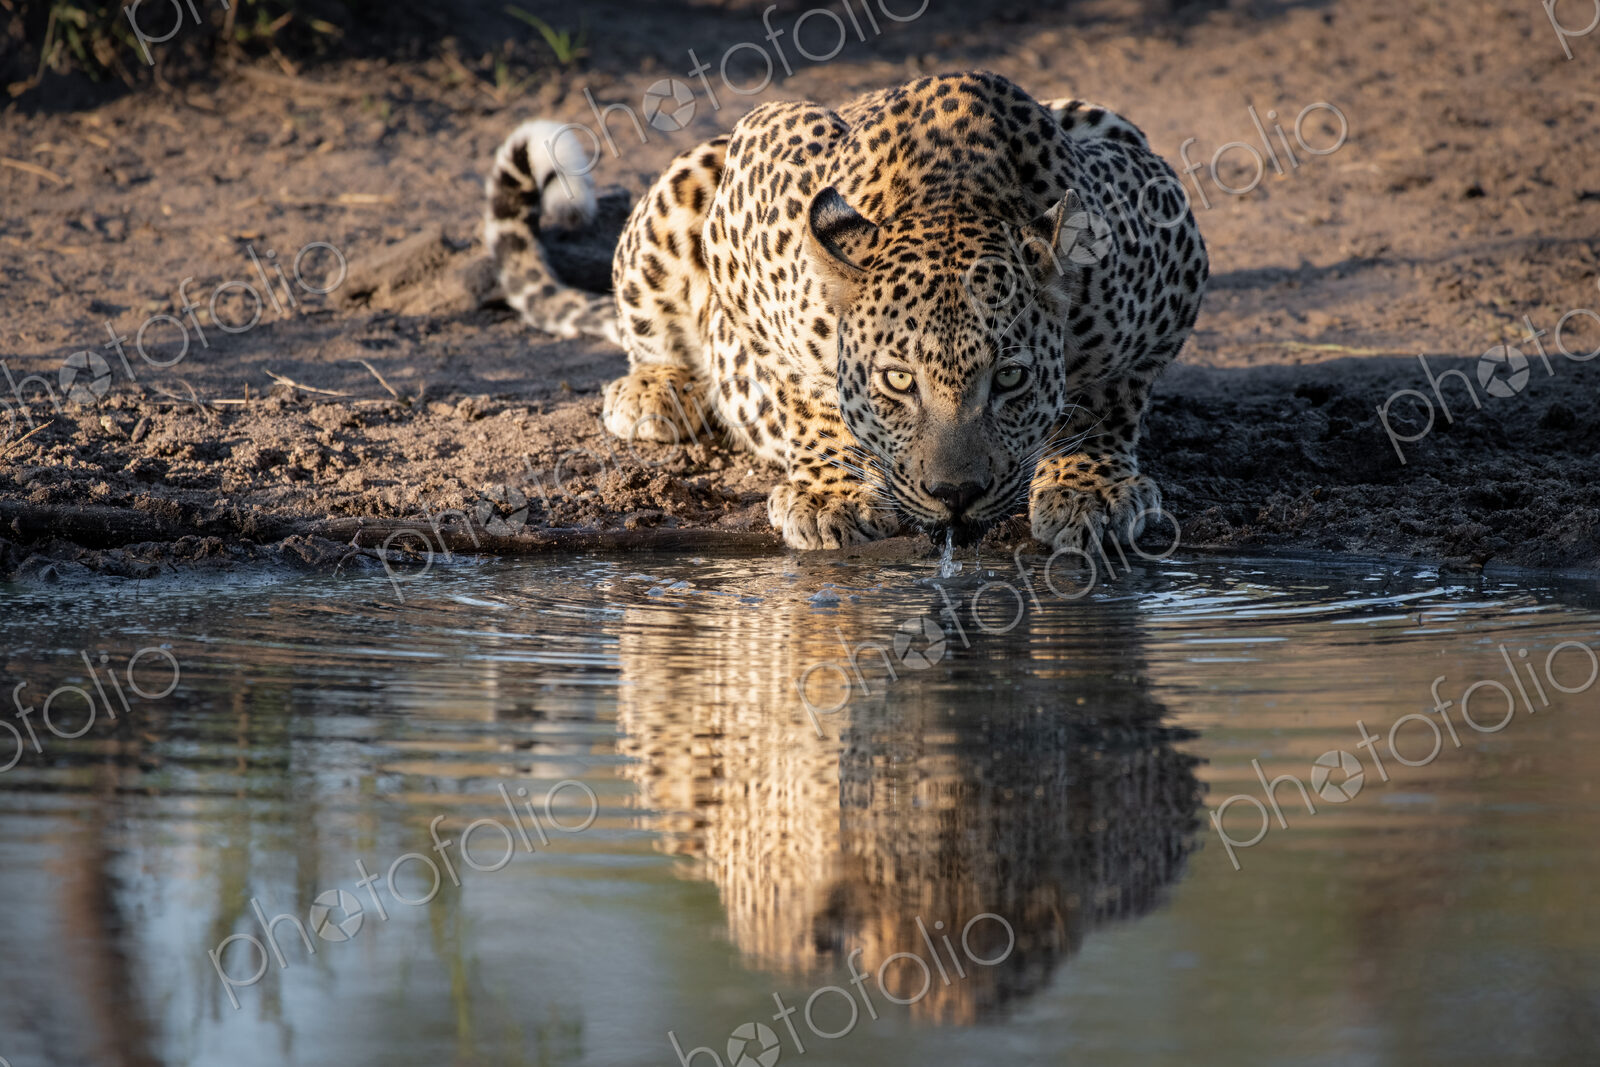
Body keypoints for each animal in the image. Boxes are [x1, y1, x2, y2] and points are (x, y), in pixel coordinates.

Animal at [483, 70, 1208, 552]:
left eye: (1010, 379)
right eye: (897, 381)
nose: (956, 497)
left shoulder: (1166, 238)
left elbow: (1108, 399)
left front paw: (1090, 489)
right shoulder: (751, 179)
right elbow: (806, 396)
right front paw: (833, 492)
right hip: (690, 177)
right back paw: (658, 391)